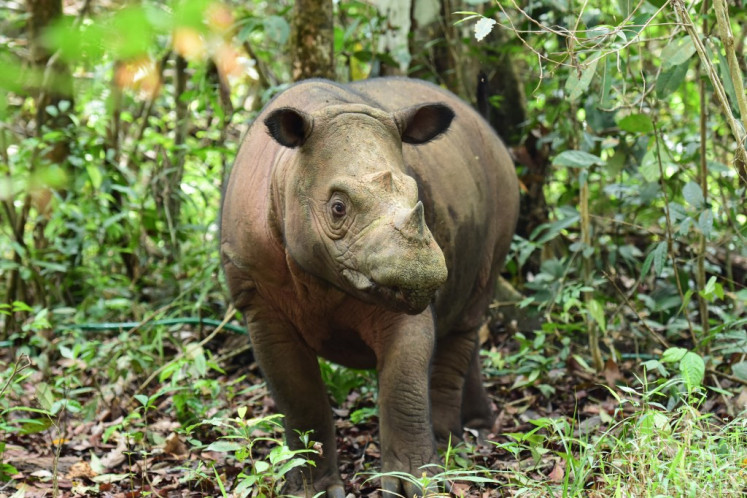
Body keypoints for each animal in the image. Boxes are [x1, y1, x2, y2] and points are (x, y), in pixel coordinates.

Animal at [220, 77, 519, 496]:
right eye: (338, 208)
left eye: (418, 197)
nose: (423, 272)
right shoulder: (257, 298)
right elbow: (298, 397)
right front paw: (313, 490)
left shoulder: (398, 295)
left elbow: (404, 385)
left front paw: (414, 483)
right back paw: (473, 429)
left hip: (504, 182)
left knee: (470, 313)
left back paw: (453, 443)